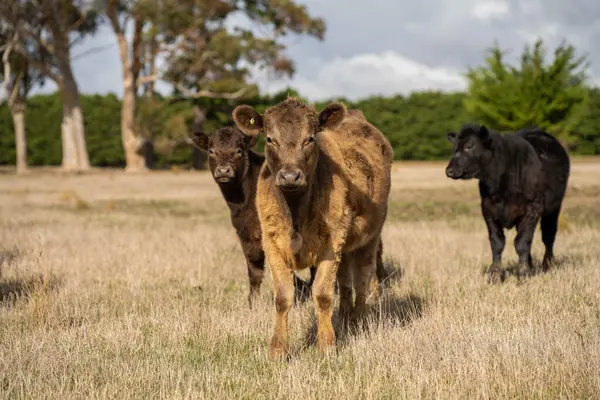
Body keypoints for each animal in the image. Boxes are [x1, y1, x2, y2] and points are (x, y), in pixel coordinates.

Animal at [231, 97, 394, 360]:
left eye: (309, 139)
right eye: (270, 139)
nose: (289, 176)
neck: (296, 213)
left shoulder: (331, 243)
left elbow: (323, 294)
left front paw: (326, 345)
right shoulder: (272, 243)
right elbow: (283, 297)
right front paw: (278, 349)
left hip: (370, 236)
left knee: (362, 277)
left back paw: (358, 320)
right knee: (345, 280)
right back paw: (345, 317)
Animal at [448, 123, 568, 282]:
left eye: (469, 146)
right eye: (454, 148)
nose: (449, 170)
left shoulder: (532, 209)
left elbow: (522, 242)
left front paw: (523, 273)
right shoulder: (488, 210)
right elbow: (497, 243)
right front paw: (495, 275)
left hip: (554, 207)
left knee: (548, 236)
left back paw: (547, 265)